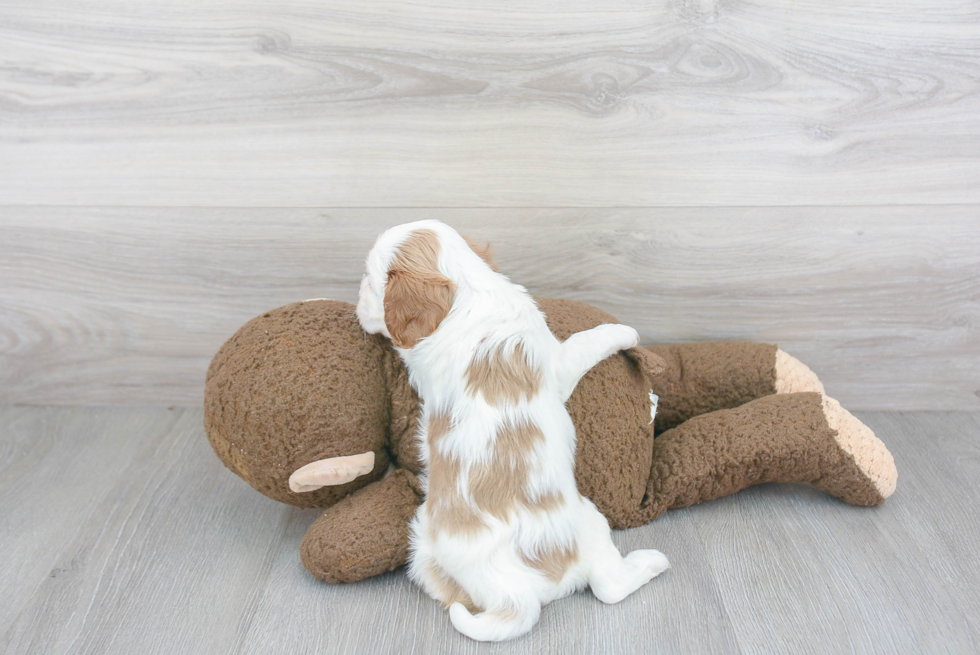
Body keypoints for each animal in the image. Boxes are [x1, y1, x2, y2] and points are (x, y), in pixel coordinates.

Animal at [352, 223, 668, 644]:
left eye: (370, 281)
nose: (356, 295)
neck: (468, 294)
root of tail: (512, 593)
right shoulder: (558, 364)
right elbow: (587, 341)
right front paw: (624, 331)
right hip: (589, 521)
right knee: (608, 585)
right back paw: (652, 562)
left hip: (421, 549)